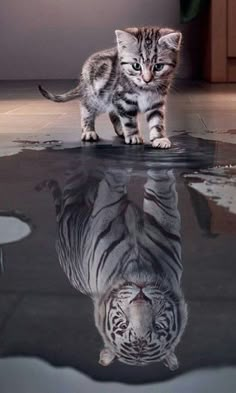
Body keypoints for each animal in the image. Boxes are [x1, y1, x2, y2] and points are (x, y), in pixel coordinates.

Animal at [39, 26, 183, 149]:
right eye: (136, 66)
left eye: (158, 67)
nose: (147, 80)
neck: (145, 90)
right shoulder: (123, 99)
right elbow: (129, 120)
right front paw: (133, 135)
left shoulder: (156, 101)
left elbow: (157, 121)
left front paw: (160, 138)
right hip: (96, 97)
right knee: (86, 110)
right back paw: (88, 131)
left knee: (112, 113)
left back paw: (120, 130)